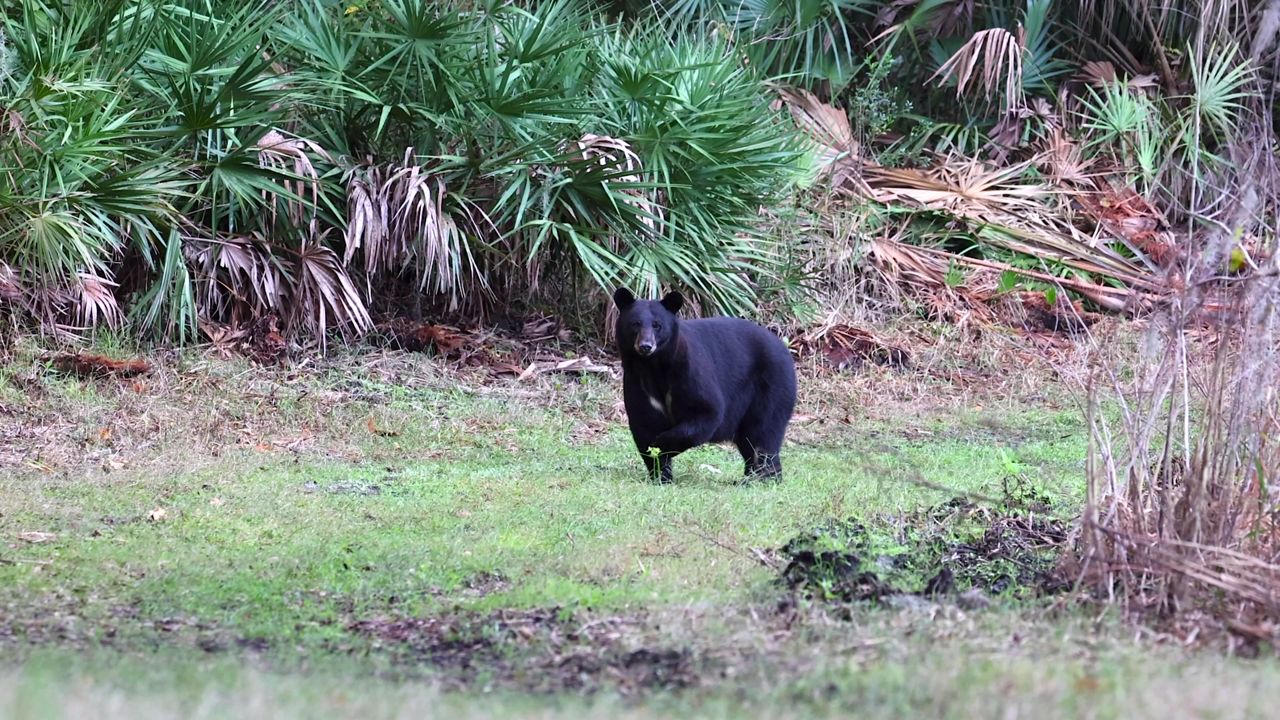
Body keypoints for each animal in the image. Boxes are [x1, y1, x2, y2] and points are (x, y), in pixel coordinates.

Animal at [613, 287, 797, 483]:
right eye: (635, 324)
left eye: (657, 325)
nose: (646, 346)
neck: (653, 366)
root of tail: (783, 347)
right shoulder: (637, 382)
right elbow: (643, 422)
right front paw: (660, 474)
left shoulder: (689, 371)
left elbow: (707, 410)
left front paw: (662, 444)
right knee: (749, 440)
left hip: (772, 385)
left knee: (763, 432)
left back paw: (763, 477)